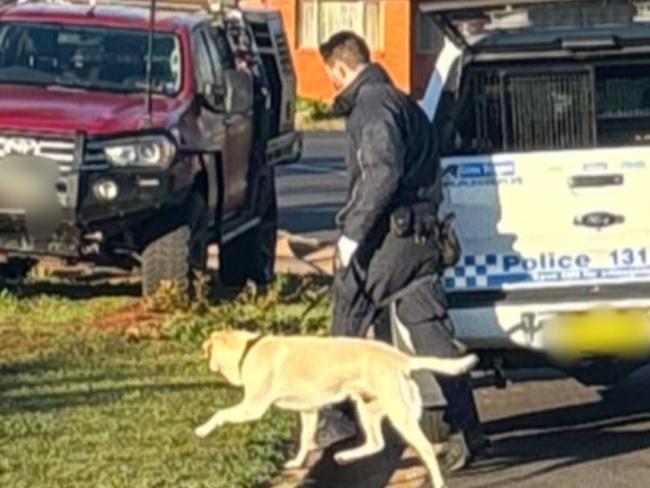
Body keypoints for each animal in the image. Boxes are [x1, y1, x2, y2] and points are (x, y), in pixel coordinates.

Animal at [195, 328, 478, 488]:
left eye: (209, 349)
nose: (204, 359)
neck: (249, 349)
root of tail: (402, 358)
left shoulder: (252, 407)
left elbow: (220, 414)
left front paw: (202, 430)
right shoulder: (308, 412)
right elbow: (305, 440)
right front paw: (297, 461)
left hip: (399, 415)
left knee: (425, 448)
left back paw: (438, 481)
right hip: (367, 407)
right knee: (376, 443)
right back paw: (344, 456)